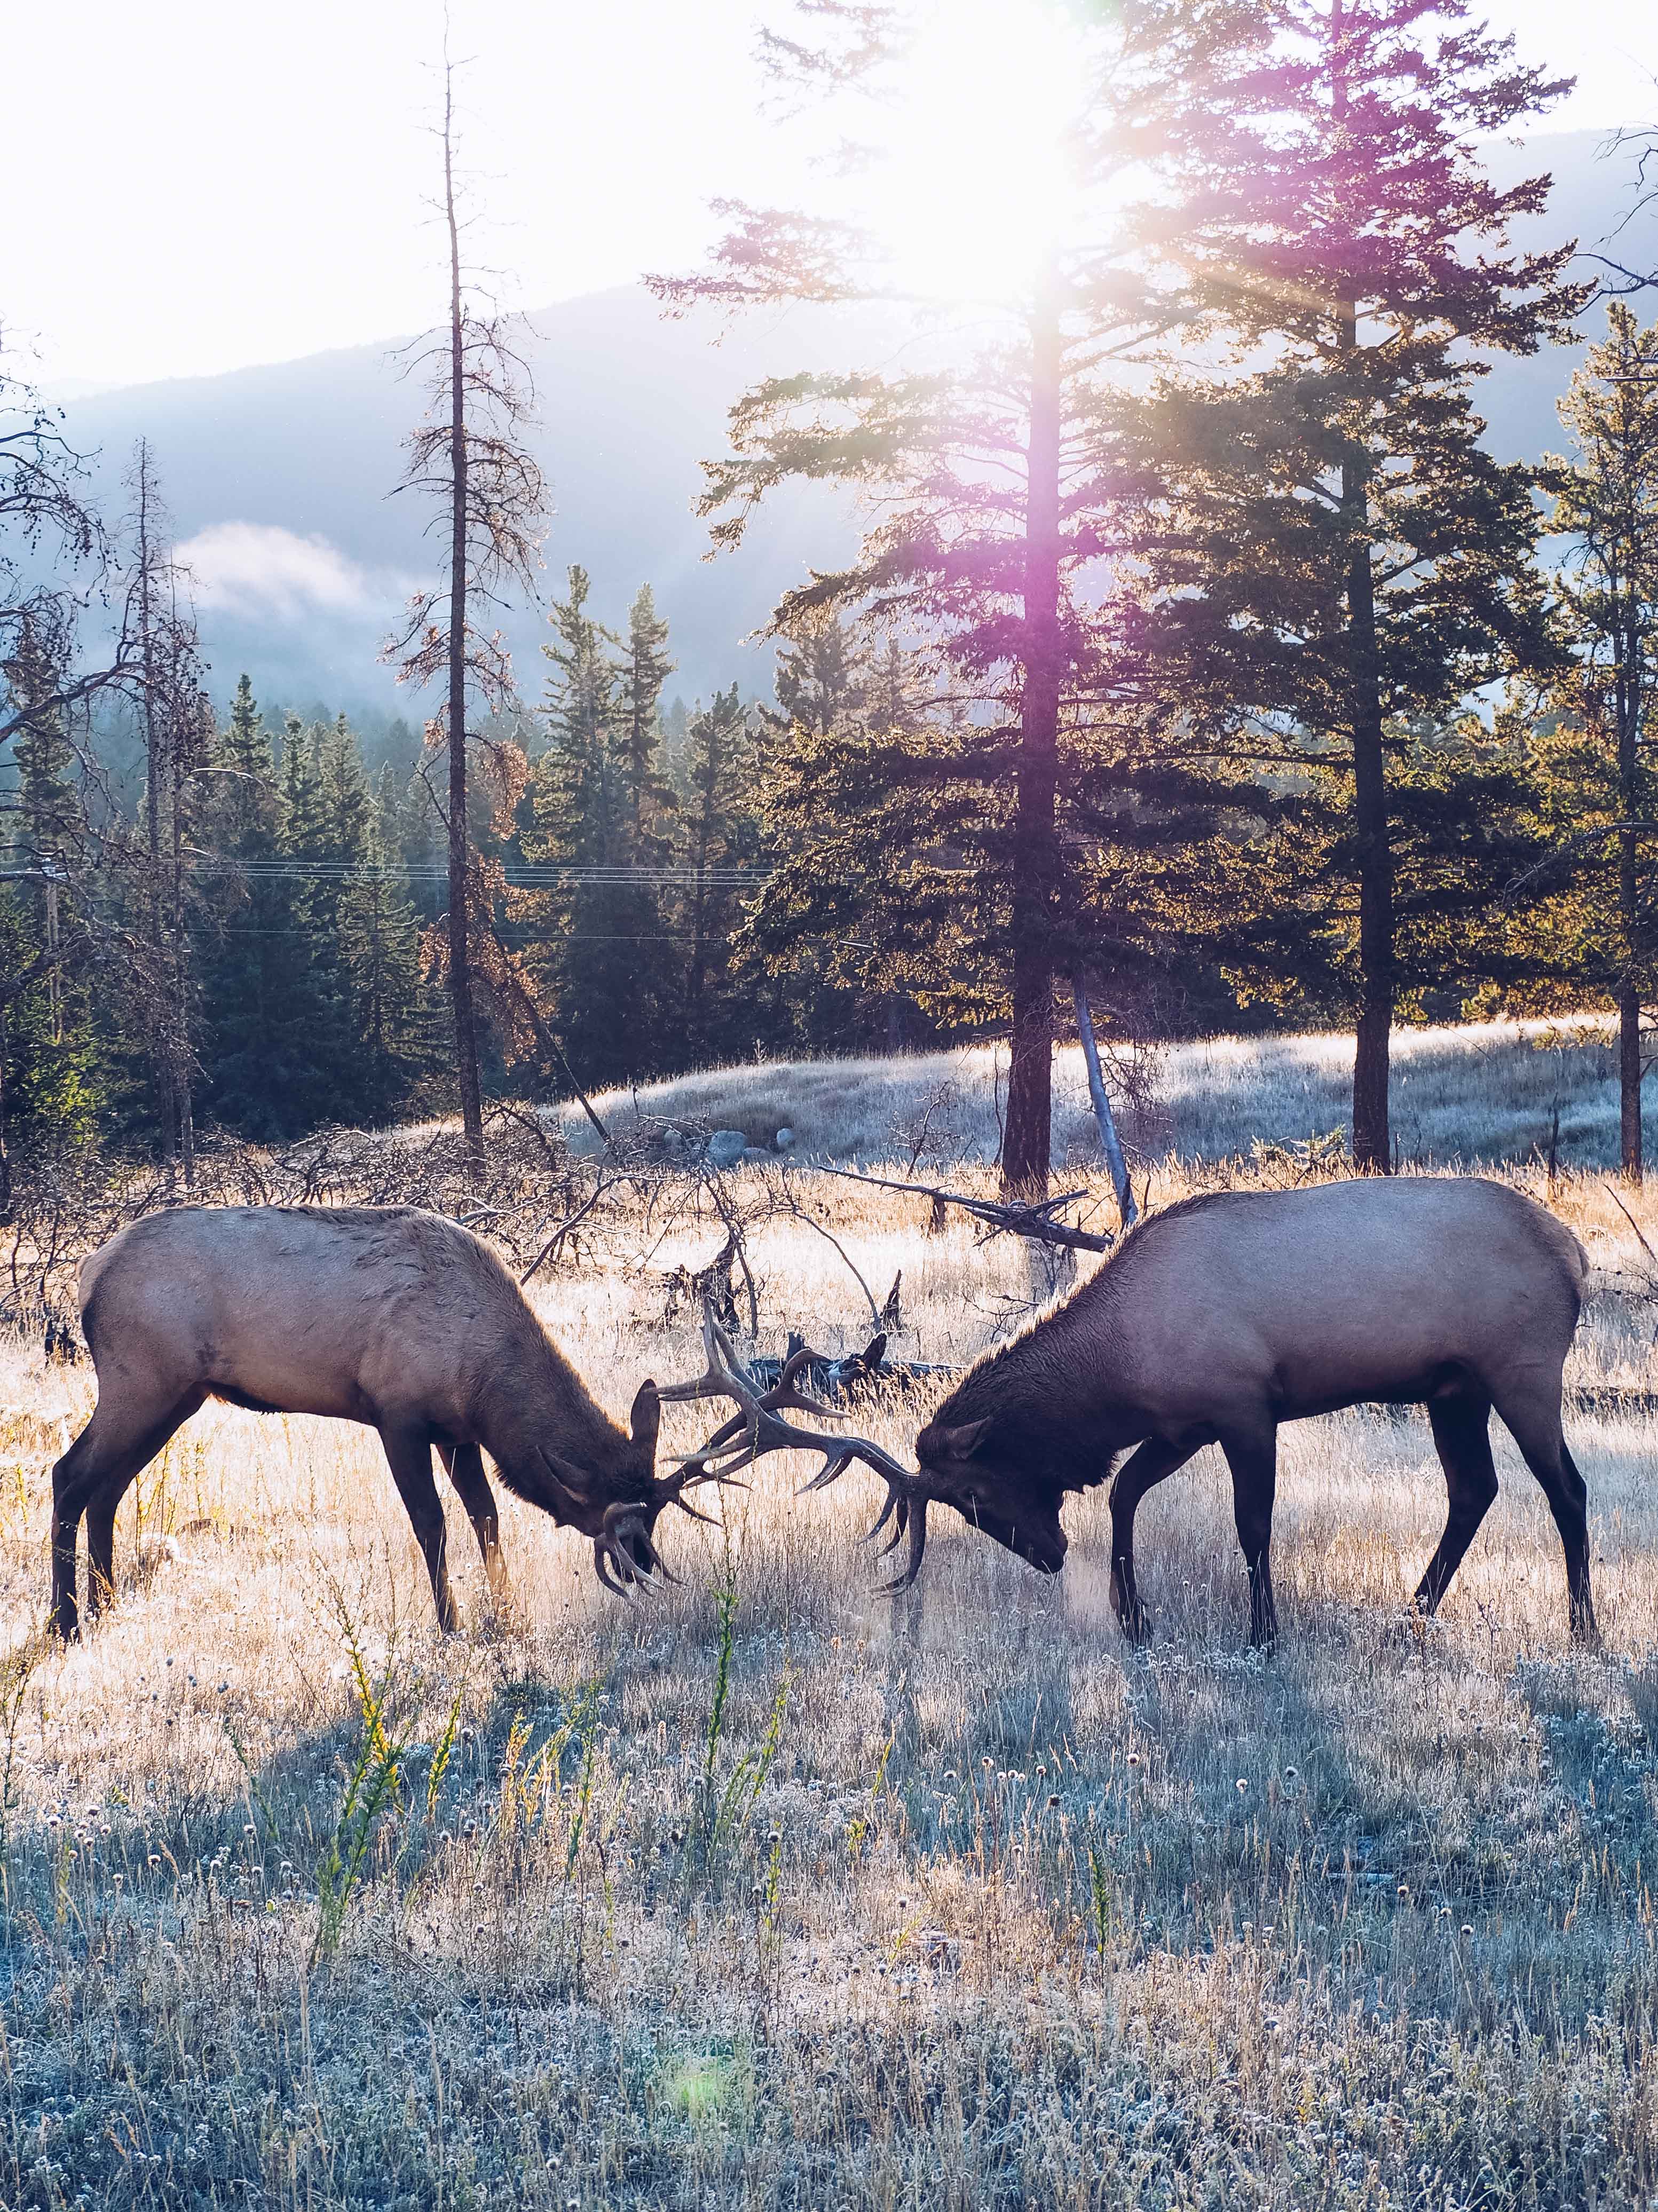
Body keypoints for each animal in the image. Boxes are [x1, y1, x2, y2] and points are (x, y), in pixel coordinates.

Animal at [47, 1203, 733, 1637]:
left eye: (657, 1513)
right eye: (624, 1524)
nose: (647, 1567)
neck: (484, 1379)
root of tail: (88, 1271)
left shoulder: (457, 1432)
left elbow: (486, 1515)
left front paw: (507, 1611)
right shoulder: (396, 1414)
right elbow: (431, 1524)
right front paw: (452, 1623)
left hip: (178, 1396)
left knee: (109, 1486)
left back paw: (106, 1603)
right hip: (140, 1381)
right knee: (69, 1473)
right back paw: (66, 1622)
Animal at [676, 1186, 1609, 1654]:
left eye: (971, 1496)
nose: (1049, 1558)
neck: (1120, 1369)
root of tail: (1574, 1254)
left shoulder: (1244, 1407)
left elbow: (1251, 1524)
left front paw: (1262, 1636)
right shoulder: (1177, 1424)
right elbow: (1124, 1494)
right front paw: (1133, 1619)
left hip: (1523, 1370)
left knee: (1565, 1488)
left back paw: (1581, 1626)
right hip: (1452, 1389)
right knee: (1473, 1490)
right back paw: (1412, 1614)